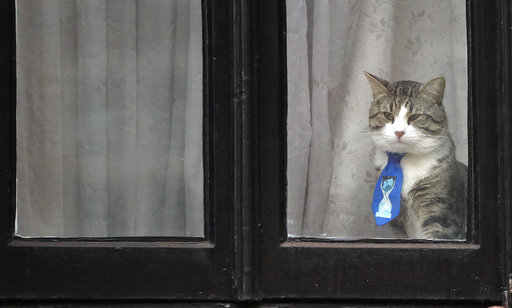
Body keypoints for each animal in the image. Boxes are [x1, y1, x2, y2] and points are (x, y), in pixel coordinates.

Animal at [364, 71, 468, 239]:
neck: (404, 161)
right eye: (387, 115)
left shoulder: (440, 211)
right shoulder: (398, 223)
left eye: (414, 117)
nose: (399, 132)